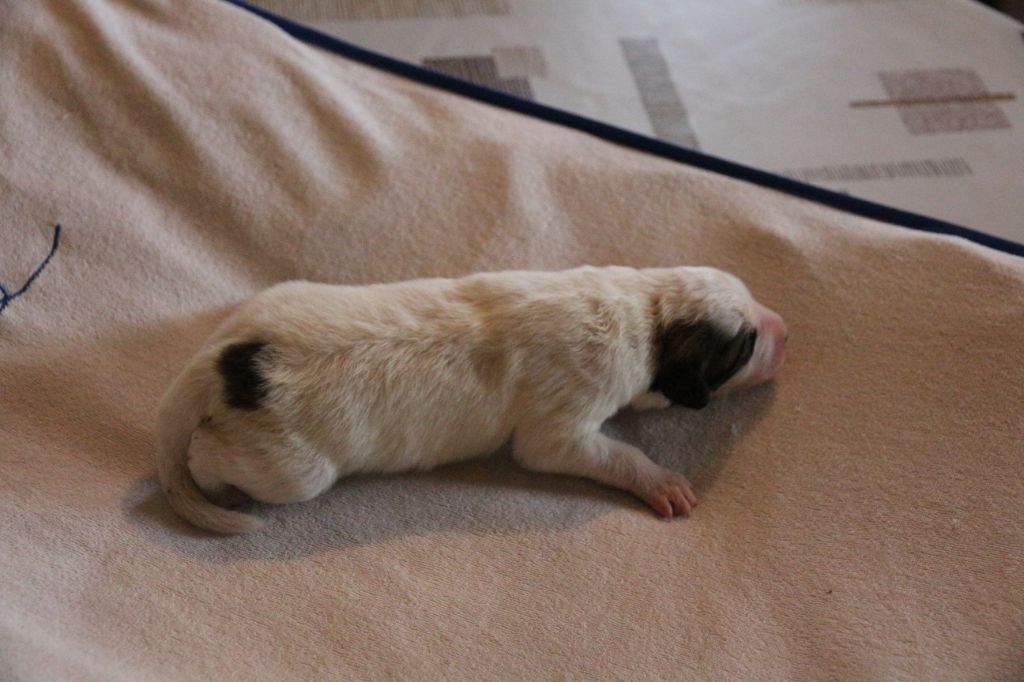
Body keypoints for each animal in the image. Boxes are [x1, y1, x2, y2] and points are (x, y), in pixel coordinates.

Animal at [156, 266, 787, 533]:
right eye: (745, 346)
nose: (788, 330)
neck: (647, 310)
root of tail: (219, 365)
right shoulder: (562, 426)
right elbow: (603, 452)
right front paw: (663, 482)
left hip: (279, 299)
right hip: (289, 469)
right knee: (205, 458)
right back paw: (218, 489)